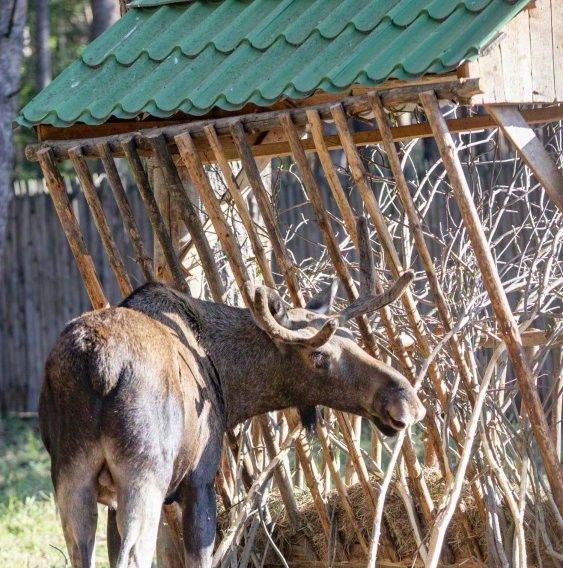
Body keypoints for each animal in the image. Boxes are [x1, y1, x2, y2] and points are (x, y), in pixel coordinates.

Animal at [39, 219, 426, 568]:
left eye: (350, 336)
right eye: (318, 356)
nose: (405, 401)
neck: (230, 385)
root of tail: (100, 365)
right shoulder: (198, 481)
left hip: (71, 475)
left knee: (81, 553)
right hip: (144, 472)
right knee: (134, 555)